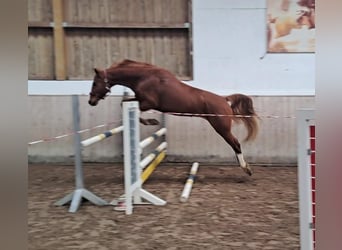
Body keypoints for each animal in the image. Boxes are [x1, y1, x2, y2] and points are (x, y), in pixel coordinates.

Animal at [88, 58, 260, 176]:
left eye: (95, 83)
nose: (91, 101)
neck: (144, 77)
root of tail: (225, 100)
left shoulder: (148, 103)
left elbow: (134, 110)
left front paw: (151, 121)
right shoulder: (140, 100)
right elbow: (123, 102)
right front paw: (151, 121)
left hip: (221, 128)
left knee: (235, 143)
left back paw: (246, 168)